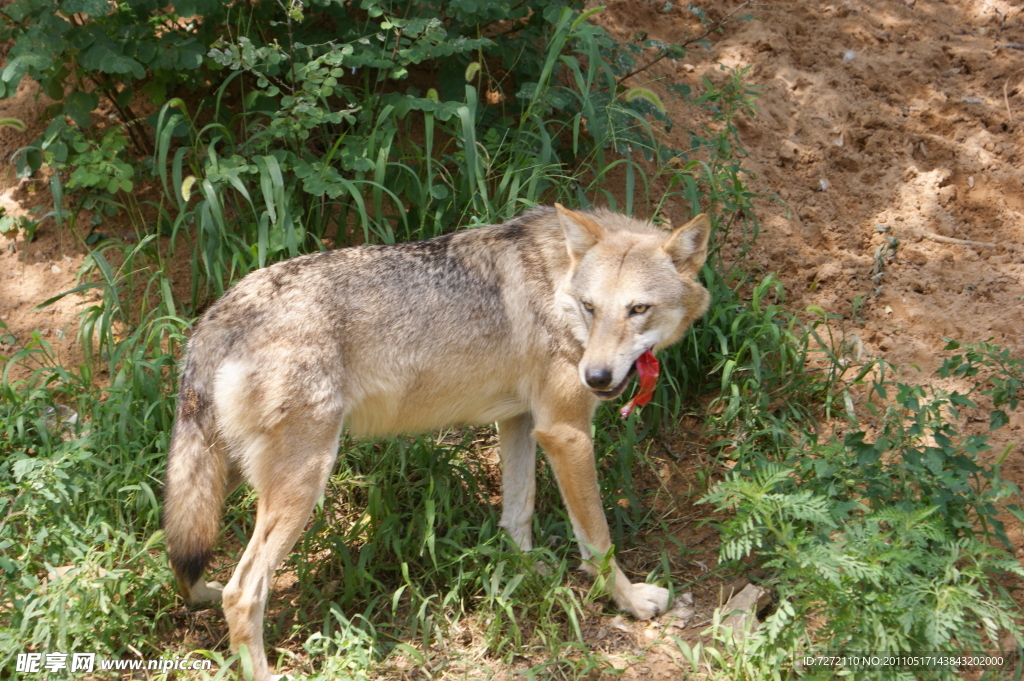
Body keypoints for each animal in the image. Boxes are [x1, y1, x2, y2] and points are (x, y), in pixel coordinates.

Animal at [163, 202, 708, 679]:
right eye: (591, 307)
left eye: (638, 309)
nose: (595, 377)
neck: (559, 287)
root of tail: (219, 313)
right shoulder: (567, 432)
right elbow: (598, 541)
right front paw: (631, 600)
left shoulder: (522, 423)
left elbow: (518, 513)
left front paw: (527, 574)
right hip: (304, 483)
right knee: (243, 591)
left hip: (229, 477)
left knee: (186, 557)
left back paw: (201, 595)